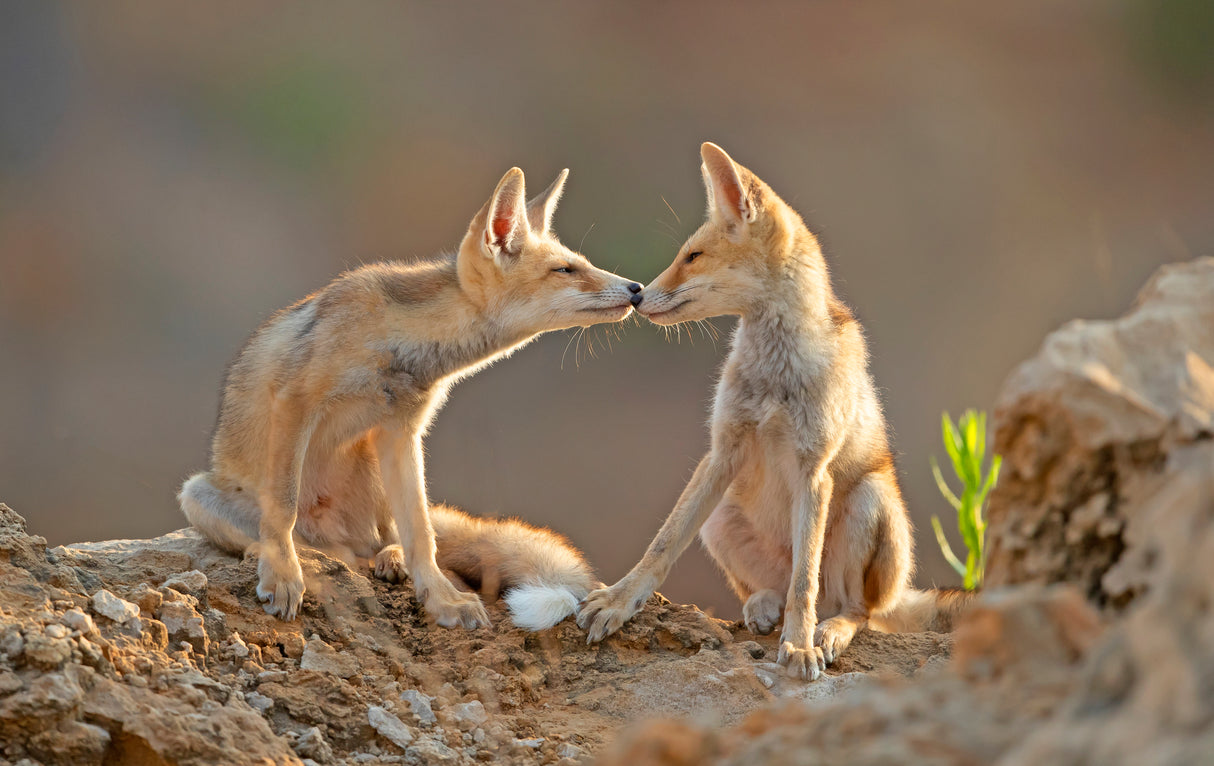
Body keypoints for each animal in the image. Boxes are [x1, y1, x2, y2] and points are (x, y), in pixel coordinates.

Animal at [179, 166, 638, 630]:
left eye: (582, 264)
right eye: (565, 269)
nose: (636, 288)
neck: (398, 345)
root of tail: (335, 535)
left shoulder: (402, 431)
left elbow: (421, 532)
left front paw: (441, 599)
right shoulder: (296, 400)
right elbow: (284, 509)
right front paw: (281, 576)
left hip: (377, 478)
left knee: (385, 540)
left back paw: (388, 558)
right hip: (196, 495)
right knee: (313, 545)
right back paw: (281, 554)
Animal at [578, 143, 970, 679]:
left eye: (692, 257)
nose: (636, 294)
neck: (774, 379)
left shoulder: (813, 469)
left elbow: (804, 583)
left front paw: (800, 647)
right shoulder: (722, 451)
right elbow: (661, 545)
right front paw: (618, 603)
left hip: (869, 503)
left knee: (851, 608)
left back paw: (827, 631)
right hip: (720, 512)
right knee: (771, 590)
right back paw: (763, 606)